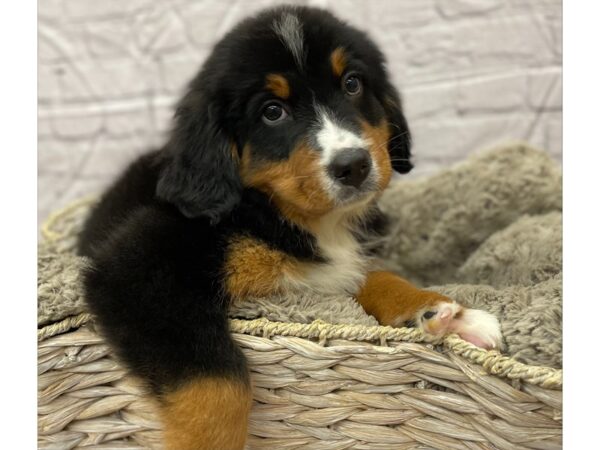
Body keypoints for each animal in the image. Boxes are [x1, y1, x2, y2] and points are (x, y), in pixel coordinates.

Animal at [78, 5, 502, 448]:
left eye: (352, 84)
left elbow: (376, 276)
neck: (307, 221)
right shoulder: (139, 270)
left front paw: (443, 312)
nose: (353, 165)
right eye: (272, 111)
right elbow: (217, 381)